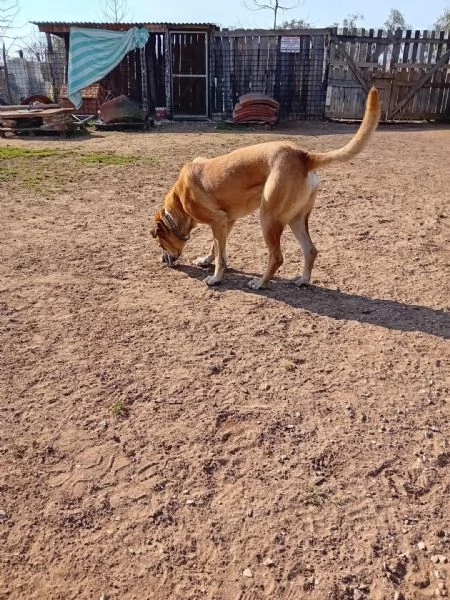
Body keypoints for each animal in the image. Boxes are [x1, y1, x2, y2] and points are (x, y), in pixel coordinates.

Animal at [151, 86, 380, 288]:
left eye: (161, 243)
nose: (163, 261)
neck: (179, 202)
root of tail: (303, 156)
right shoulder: (227, 221)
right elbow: (218, 249)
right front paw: (207, 261)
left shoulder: (217, 221)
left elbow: (219, 254)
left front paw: (216, 278)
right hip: (296, 218)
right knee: (311, 250)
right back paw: (303, 280)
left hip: (268, 218)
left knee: (277, 257)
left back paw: (261, 283)